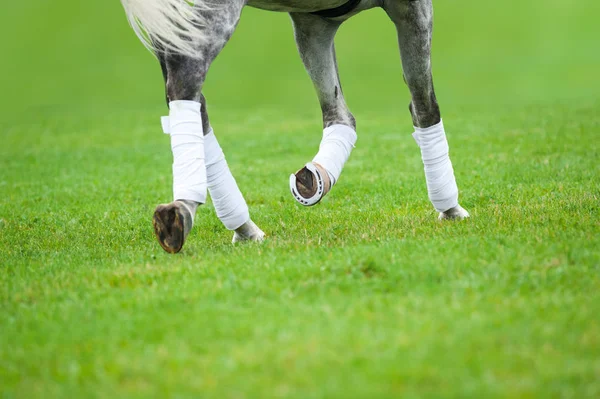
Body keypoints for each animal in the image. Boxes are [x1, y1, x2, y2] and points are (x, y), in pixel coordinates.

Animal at [119, 0, 472, 255]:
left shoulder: (312, 22)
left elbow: (340, 115)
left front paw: (314, 178)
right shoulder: (412, 8)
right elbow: (424, 106)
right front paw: (450, 208)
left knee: (190, 97)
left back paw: (243, 227)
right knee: (186, 76)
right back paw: (183, 212)